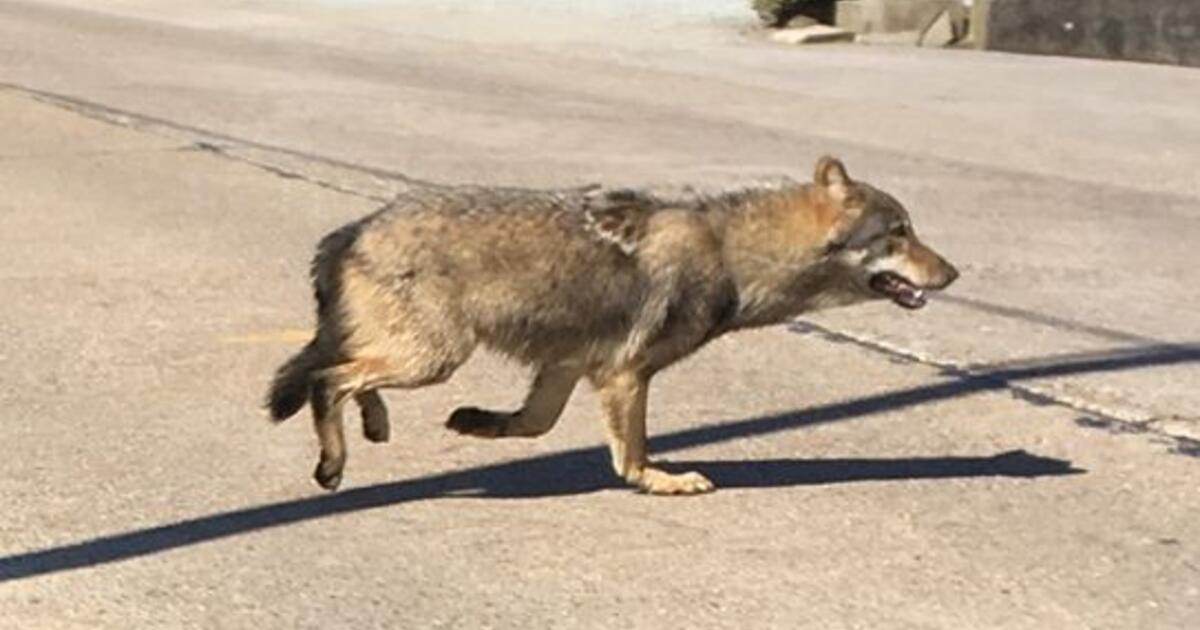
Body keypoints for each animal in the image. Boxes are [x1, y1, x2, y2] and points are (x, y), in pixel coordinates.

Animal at [265, 156, 958, 495]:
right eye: (900, 233)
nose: (952, 272)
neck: (732, 251)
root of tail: (354, 228)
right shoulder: (625, 375)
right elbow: (633, 455)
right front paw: (660, 482)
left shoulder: (572, 366)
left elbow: (532, 424)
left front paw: (480, 423)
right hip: (435, 357)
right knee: (329, 380)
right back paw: (333, 464)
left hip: (423, 356)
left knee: (349, 374)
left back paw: (375, 424)